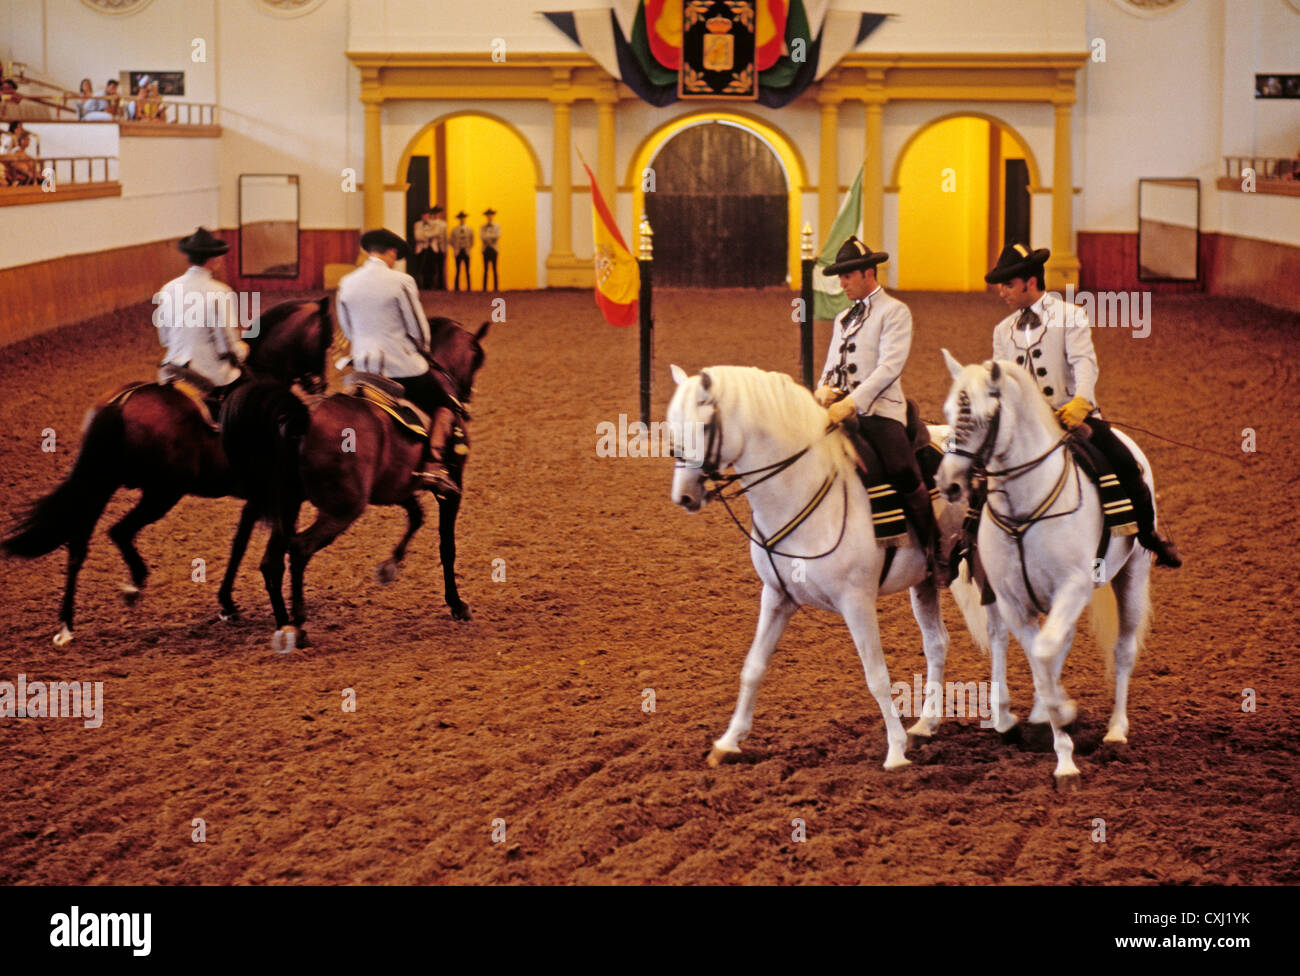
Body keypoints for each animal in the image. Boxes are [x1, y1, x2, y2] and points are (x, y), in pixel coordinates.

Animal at [3, 297, 335, 649]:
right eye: (326, 338)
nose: (320, 384)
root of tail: (122, 401)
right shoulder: (273, 496)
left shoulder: (254, 500)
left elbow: (238, 545)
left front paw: (227, 604)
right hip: (162, 493)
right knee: (119, 532)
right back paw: (132, 585)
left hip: (102, 485)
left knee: (79, 546)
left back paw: (66, 625)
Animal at [223, 318, 488, 649]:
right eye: (477, 358)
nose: (465, 401)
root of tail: (302, 418)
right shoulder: (451, 490)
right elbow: (446, 546)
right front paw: (456, 604)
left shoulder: (397, 487)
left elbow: (416, 517)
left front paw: (389, 567)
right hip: (342, 509)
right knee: (299, 549)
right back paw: (298, 622)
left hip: (289, 504)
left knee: (271, 561)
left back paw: (284, 625)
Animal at [670, 363, 982, 769]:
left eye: (705, 427)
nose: (684, 495)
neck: (801, 489)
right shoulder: (777, 596)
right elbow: (753, 667)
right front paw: (727, 742)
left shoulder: (856, 602)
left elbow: (876, 676)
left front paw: (896, 752)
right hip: (926, 583)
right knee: (937, 643)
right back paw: (926, 726)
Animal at [935, 350, 1159, 784]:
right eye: (950, 411)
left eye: (985, 416)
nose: (949, 483)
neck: (1024, 507)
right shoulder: (1013, 600)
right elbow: (1039, 656)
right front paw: (1054, 727)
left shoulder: (1071, 587)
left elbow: (1045, 653)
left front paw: (1065, 742)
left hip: (1132, 576)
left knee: (1123, 649)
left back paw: (1116, 730)